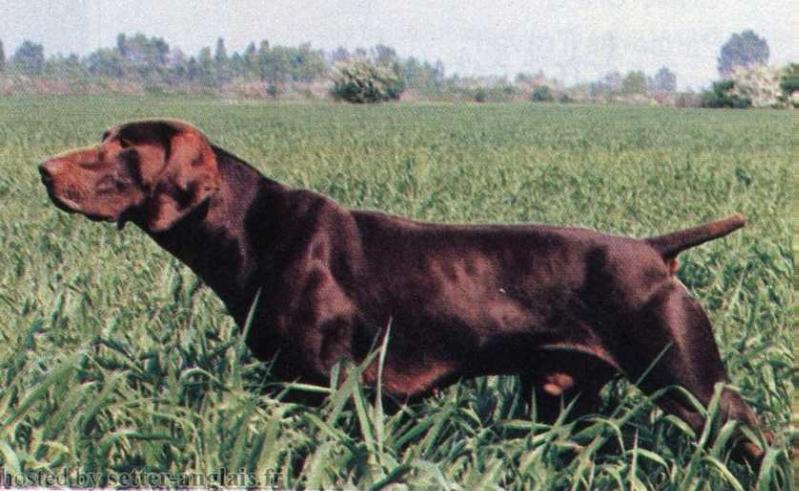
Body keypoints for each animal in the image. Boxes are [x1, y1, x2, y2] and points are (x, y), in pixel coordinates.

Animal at [39, 120, 768, 466]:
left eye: (123, 149)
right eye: (102, 140)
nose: (41, 169)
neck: (254, 230)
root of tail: (652, 250)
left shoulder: (331, 386)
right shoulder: (289, 384)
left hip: (695, 387)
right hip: (559, 398)